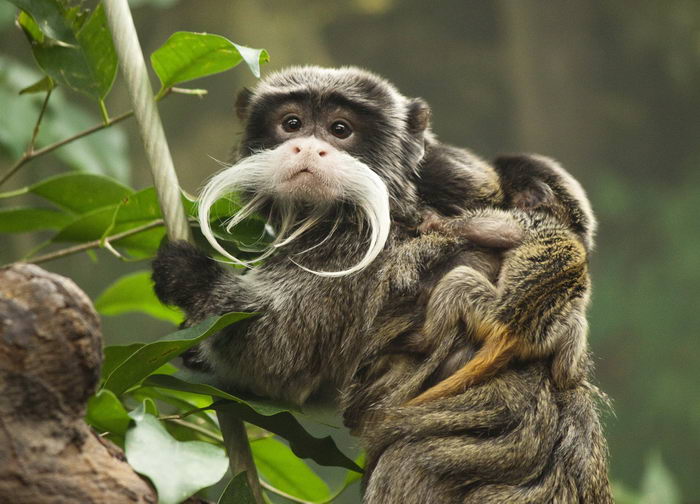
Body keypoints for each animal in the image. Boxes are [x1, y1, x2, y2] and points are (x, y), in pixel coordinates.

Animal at [408, 154, 592, 406]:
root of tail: (513, 334)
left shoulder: (530, 218)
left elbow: (509, 230)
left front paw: (438, 222)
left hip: (490, 313)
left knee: (460, 281)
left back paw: (422, 340)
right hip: (553, 333)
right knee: (575, 330)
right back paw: (568, 379)